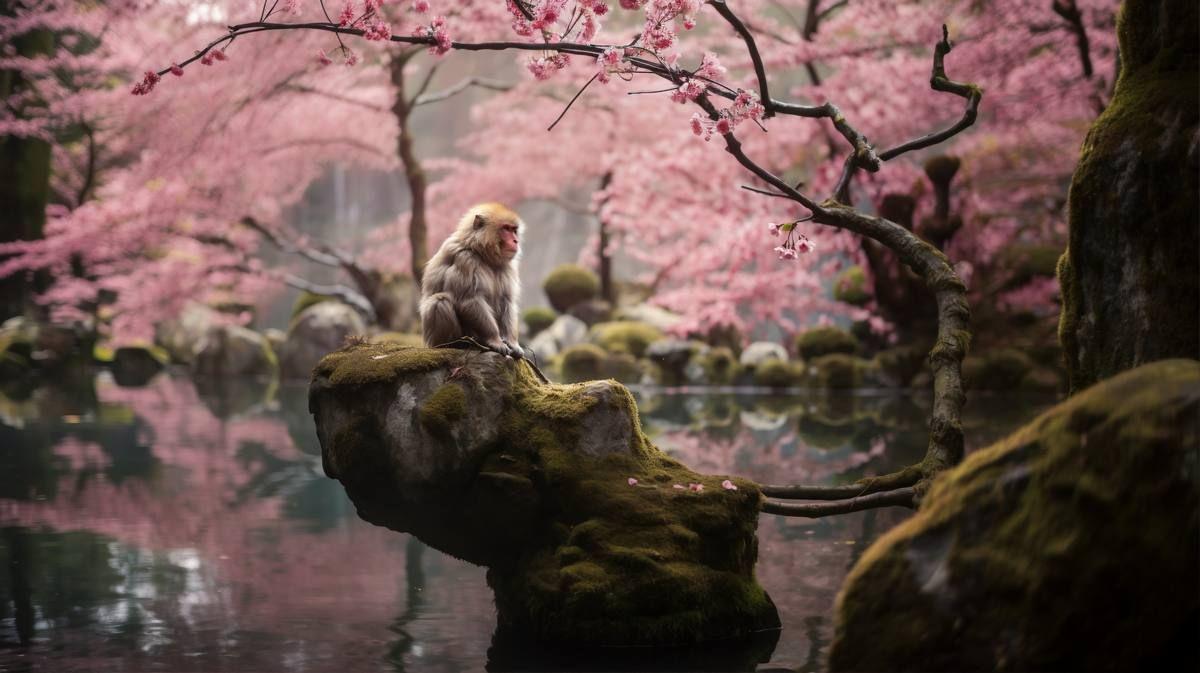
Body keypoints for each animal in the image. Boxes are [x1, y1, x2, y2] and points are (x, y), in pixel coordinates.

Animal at [420, 203, 524, 358]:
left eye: (514, 230)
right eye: (506, 229)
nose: (515, 241)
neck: (479, 251)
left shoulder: (508, 266)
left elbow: (507, 301)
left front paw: (512, 343)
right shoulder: (465, 259)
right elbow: (469, 299)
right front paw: (495, 340)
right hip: (434, 340)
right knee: (439, 301)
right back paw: (455, 344)